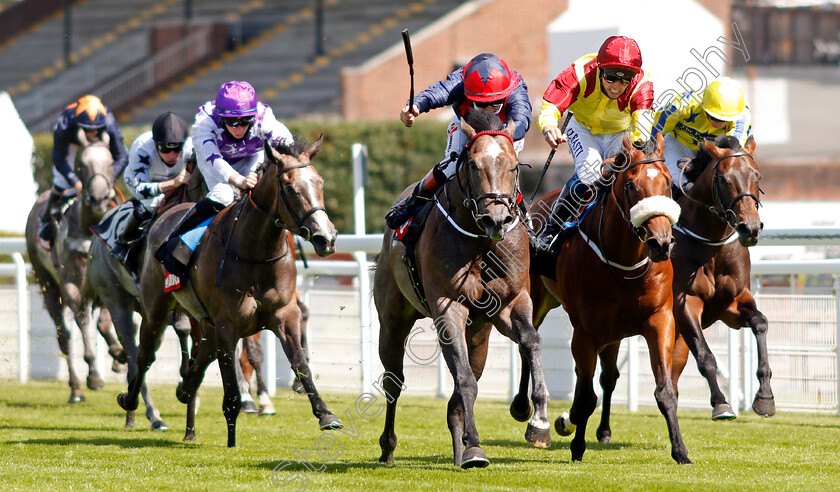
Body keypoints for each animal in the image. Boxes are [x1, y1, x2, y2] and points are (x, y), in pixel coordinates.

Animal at [24, 132, 123, 404]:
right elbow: (83, 322)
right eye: (82, 165)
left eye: (110, 163)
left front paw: (118, 354)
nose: (99, 199)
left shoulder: (107, 280)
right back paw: (76, 389)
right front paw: (95, 375)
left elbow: (104, 324)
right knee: (65, 338)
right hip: (47, 284)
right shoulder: (71, 284)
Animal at [117, 135, 342, 446]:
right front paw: (232, 435)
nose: (326, 238)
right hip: (157, 310)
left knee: (197, 363)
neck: (256, 252)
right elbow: (231, 387)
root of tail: (162, 217)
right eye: (289, 187)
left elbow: (300, 362)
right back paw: (131, 400)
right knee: (145, 355)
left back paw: (186, 402)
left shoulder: (285, 315)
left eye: (319, 183)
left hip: (206, 325)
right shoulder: (228, 325)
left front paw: (325, 414)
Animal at [374, 109, 552, 470]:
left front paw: (538, 419)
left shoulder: (511, 302)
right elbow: (465, 380)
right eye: (472, 164)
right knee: (393, 380)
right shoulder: (448, 305)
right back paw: (389, 446)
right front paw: (474, 448)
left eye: (515, 166)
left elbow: (531, 342)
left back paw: (458, 448)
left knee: (465, 377)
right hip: (392, 317)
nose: (496, 219)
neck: (481, 243)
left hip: (479, 331)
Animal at [520, 133, 692, 464]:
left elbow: (665, 390)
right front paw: (574, 441)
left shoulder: (659, 319)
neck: (623, 261)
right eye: (631, 185)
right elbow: (586, 397)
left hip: (612, 334)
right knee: (527, 346)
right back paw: (528, 413)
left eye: (668, 183)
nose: (661, 243)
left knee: (607, 377)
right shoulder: (586, 332)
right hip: (537, 301)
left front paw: (681, 451)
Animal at [668, 135, 776, 418]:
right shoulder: (686, 302)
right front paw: (721, 403)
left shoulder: (731, 305)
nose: (750, 228)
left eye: (758, 176)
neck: (712, 244)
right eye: (725, 179)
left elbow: (761, 323)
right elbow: (706, 357)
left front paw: (765, 397)